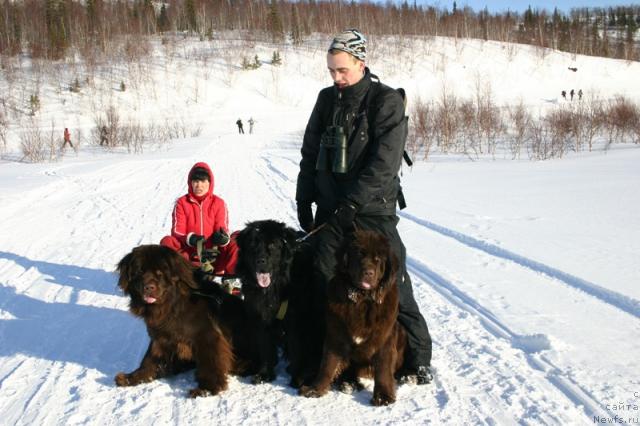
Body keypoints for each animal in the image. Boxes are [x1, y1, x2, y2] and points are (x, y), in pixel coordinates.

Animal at [232, 220, 320, 386]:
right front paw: (264, 374)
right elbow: (265, 347)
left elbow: (296, 349)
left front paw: (296, 377)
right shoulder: (260, 318)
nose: (261, 261)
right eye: (252, 244)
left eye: (272, 245)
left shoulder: (295, 320)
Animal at [298, 230, 404, 406]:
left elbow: (383, 369)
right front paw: (315, 389)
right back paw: (349, 384)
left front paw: (383, 397)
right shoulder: (335, 335)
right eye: (359, 255)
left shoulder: (384, 338)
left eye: (378, 259)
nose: (369, 272)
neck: (363, 300)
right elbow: (327, 364)